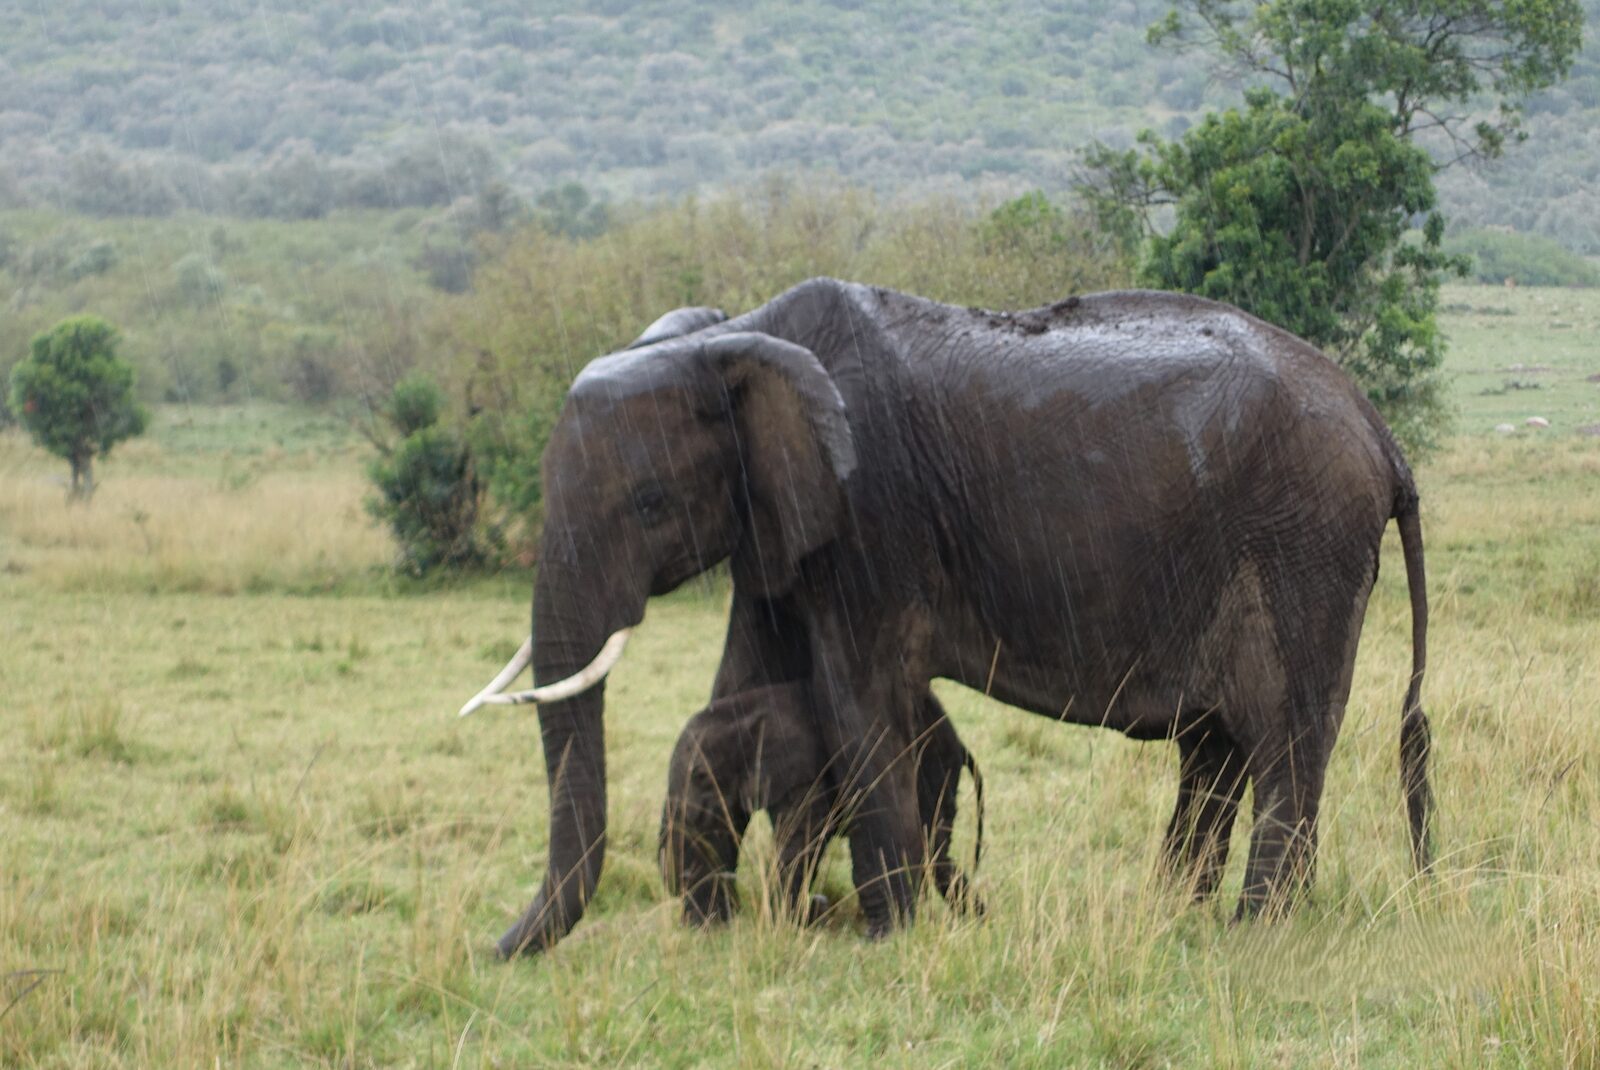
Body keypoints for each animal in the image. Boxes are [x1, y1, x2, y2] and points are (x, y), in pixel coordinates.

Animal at [658, 683, 985, 927]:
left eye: (700, 775)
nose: (820, 902)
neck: (745, 714)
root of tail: (959, 743)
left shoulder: (807, 770)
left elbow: (802, 838)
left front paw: (795, 917)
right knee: (936, 854)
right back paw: (978, 921)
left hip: (934, 766)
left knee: (931, 846)